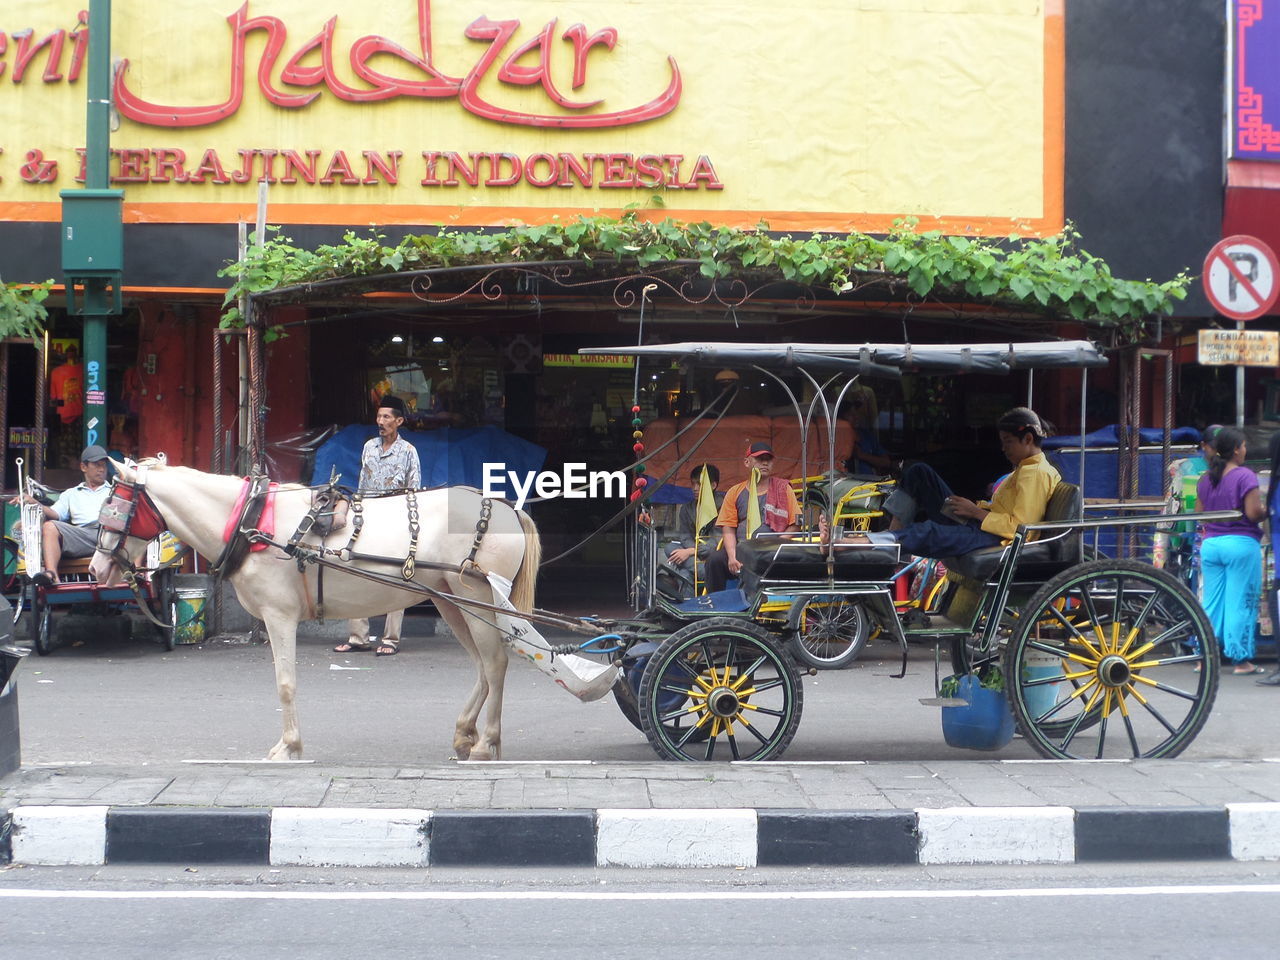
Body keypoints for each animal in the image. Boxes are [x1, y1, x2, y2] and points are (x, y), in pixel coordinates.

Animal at [88, 463, 540, 762]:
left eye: (115, 507)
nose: (95, 569)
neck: (251, 522)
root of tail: (506, 508)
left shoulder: (278, 615)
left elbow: (285, 684)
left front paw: (289, 746)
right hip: (452, 600)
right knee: (482, 667)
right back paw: (465, 734)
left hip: (473, 594)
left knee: (495, 663)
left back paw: (486, 743)